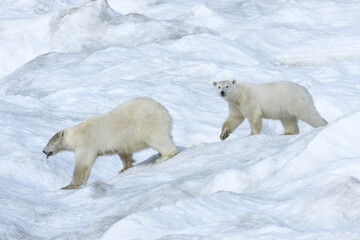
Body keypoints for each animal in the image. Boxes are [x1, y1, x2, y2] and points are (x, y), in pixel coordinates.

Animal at [43, 97, 178, 189]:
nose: (43, 151)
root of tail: (164, 110)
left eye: (50, 142)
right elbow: (124, 153)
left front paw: (68, 186)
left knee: (158, 139)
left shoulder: (87, 143)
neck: (78, 133)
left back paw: (163, 157)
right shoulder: (120, 143)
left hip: (148, 123)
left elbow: (82, 165)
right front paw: (124, 168)